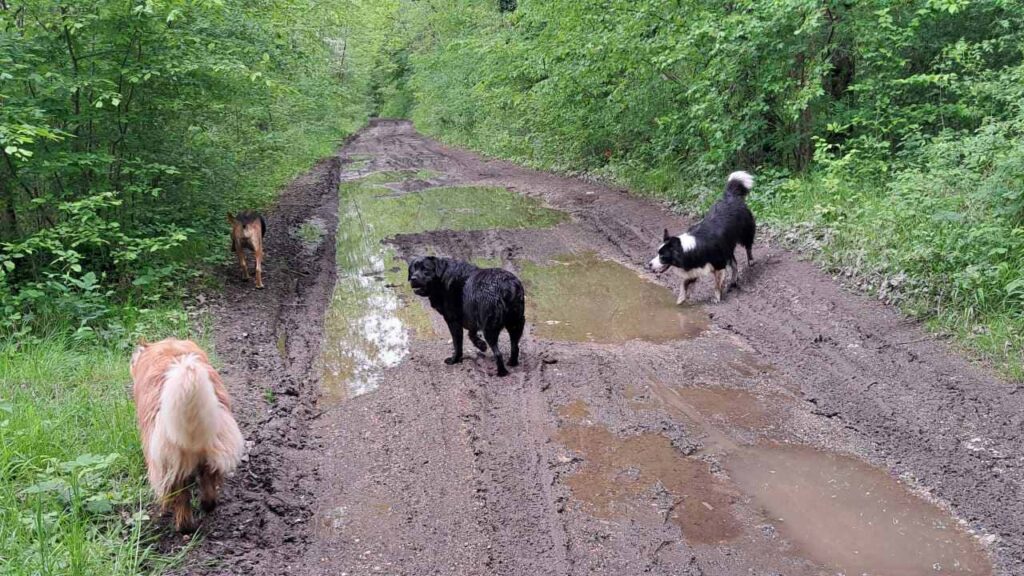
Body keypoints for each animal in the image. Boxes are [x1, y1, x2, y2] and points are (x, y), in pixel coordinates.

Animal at [130, 336, 245, 528]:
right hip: (212, 448)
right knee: (207, 483)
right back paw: (207, 505)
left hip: (168, 463)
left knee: (181, 497)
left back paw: (184, 525)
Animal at [643, 170, 757, 303]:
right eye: (658, 253)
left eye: (662, 256)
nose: (649, 264)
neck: (687, 250)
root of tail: (731, 196)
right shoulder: (696, 267)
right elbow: (685, 283)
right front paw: (681, 300)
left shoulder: (719, 264)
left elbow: (717, 284)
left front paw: (717, 298)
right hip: (727, 248)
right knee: (734, 264)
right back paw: (733, 282)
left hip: (745, 233)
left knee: (748, 246)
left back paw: (751, 261)